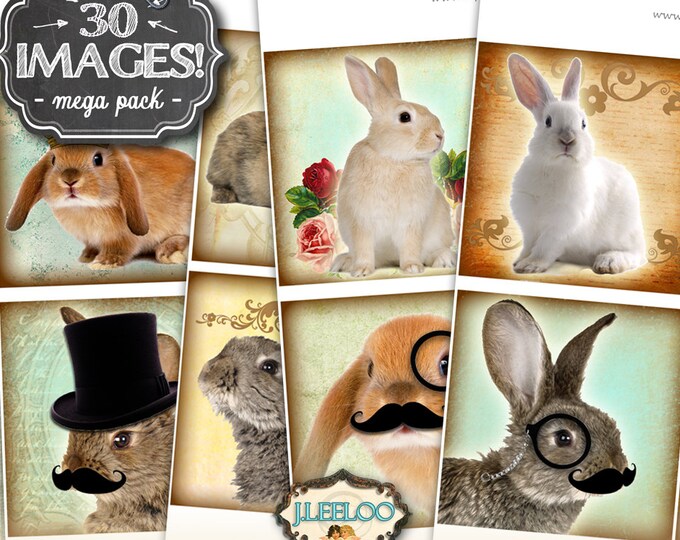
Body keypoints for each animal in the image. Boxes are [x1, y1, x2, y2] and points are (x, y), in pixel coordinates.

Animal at [5, 144, 195, 269]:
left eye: (98, 159)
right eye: (53, 159)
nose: (69, 180)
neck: (85, 208)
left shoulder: (124, 238)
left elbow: (120, 249)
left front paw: (102, 263)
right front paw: (87, 257)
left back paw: (169, 252)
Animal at [330, 56, 455, 277]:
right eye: (405, 117)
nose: (440, 135)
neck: (393, 159)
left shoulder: (411, 222)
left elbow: (410, 246)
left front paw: (412, 268)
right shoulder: (361, 221)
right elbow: (363, 247)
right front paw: (361, 271)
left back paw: (443, 259)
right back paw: (345, 262)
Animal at [508, 54, 646, 275]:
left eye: (583, 123)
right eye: (548, 121)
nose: (567, 139)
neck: (556, 167)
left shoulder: (560, 225)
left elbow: (545, 247)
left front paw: (530, 265)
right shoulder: (530, 223)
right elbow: (529, 244)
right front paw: (519, 260)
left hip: (627, 234)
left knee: (636, 256)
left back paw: (608, 262)